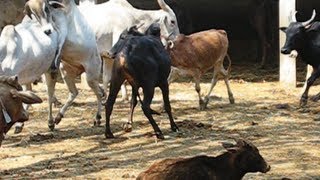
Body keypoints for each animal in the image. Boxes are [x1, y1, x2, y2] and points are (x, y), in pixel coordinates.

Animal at [26, 0, 104, 130]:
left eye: (46, 8)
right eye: (33, 13)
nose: (47, 31)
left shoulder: (62, 29)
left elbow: (59, 44)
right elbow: (50, 94)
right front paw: (51, 122)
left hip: (91, 77)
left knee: (99, 94)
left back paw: (97, 118)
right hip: (66, 73)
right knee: (74, 93)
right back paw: (57, 118)